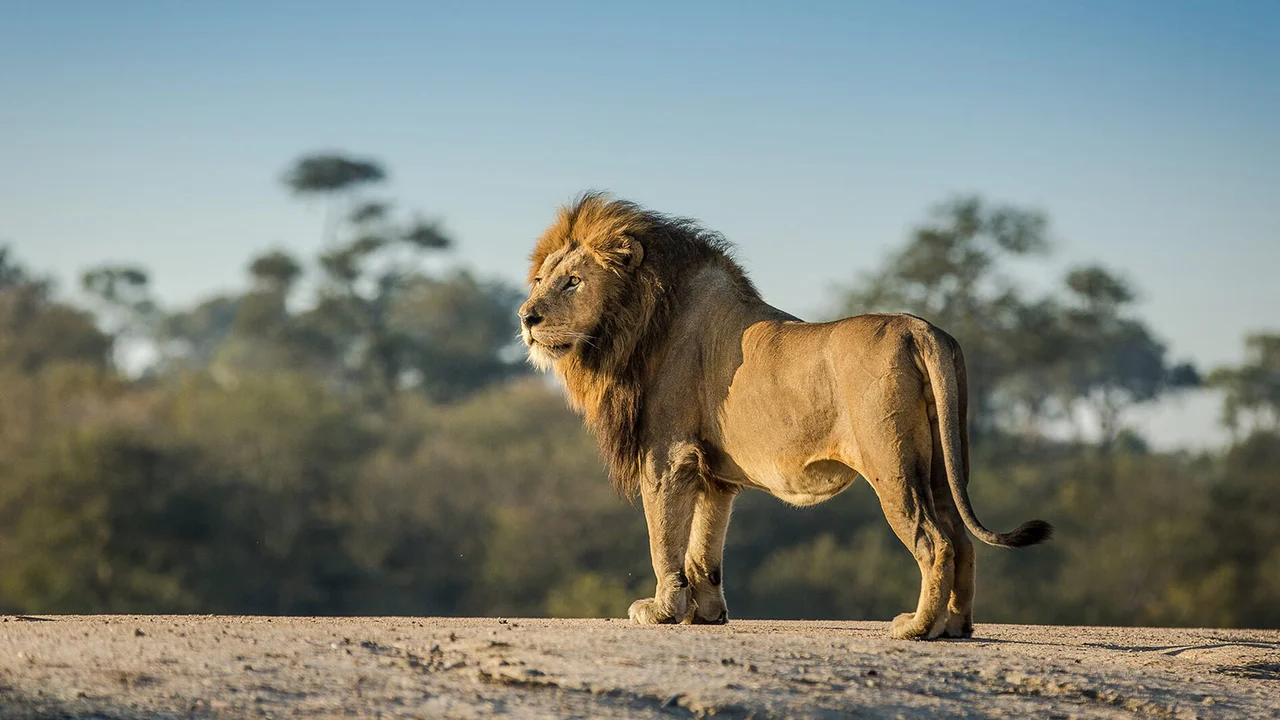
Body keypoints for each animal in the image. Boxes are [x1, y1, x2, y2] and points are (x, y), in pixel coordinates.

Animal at [519, 192, 1052, 640]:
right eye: (542, 280)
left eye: (573, 281)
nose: (526, 317)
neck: (636, 325)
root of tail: (919, 329)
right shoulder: (714, 474)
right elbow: (704, 549)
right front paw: (706, 614)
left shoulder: (667, 458)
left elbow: (665, 539)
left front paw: (662, 611)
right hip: (941, 461)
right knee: (962, 539)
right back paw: (956, 626)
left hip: (893, 465)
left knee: (934, 541)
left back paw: (917, 628)